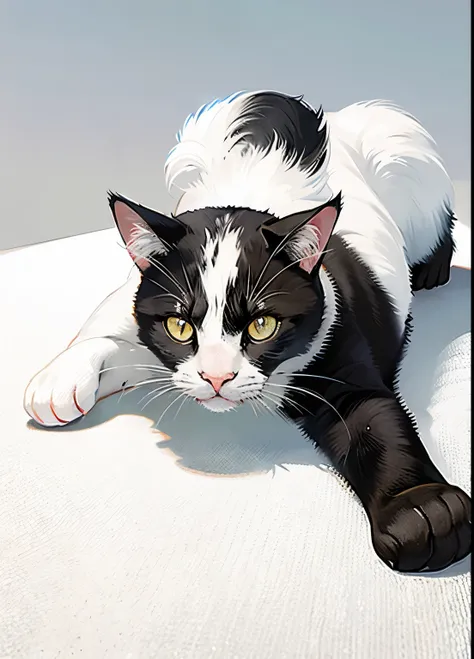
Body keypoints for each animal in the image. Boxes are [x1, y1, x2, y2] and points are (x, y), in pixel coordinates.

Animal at [25, 91, 470, 572]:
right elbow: (107, 333)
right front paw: (58, 382)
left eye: (263, 325)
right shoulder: (140, 317)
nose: (217, 377)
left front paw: (421, 510)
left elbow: (376, 423)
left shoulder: (339, 346)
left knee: (437, 221)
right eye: (180, 325)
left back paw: (431, 269)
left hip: (407, 160)